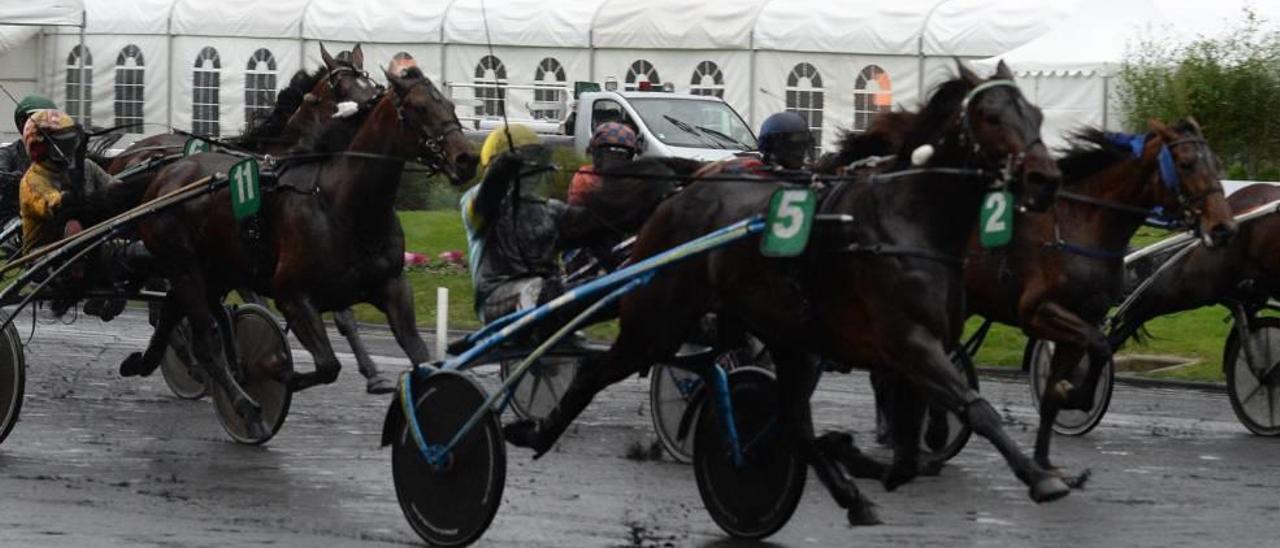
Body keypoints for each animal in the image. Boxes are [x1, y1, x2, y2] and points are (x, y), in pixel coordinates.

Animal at [122, 66, 476, 427]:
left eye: (449, 103)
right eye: (419, 107)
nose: (468, 157)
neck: (341, 203)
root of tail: (164, 176)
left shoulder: (391, 287)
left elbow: (416, 353)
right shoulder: (293, 295)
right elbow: (326, 364)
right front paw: (273, 372)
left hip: (212, 271)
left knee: (171, 310)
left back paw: (146, 361)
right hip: (185, 267)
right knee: (204, 338)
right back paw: (242, 403)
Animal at [499, 61, 1070, 527]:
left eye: (1038, 114)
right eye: (992, 117)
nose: (1046, 178)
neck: (909, 221)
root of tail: (676, 201)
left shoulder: (912, 350)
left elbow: (910, 446)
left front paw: (871, 460)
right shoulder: (910, 343)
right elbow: (977, 409)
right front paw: (1043, 478)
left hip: (790, 338)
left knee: (793, 417)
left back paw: (847, 492)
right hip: (659, 321)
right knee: (594, 370)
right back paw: (535, 431)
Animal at [962, 119, 1233, 471]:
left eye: (1217, 163)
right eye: (1186, 163)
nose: (1223, 227)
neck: (1078, 225)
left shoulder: (1085, 315)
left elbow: (1077, 366)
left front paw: (1057, 428)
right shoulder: (1037, 311)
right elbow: (1100, 344)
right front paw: (1073, 394)